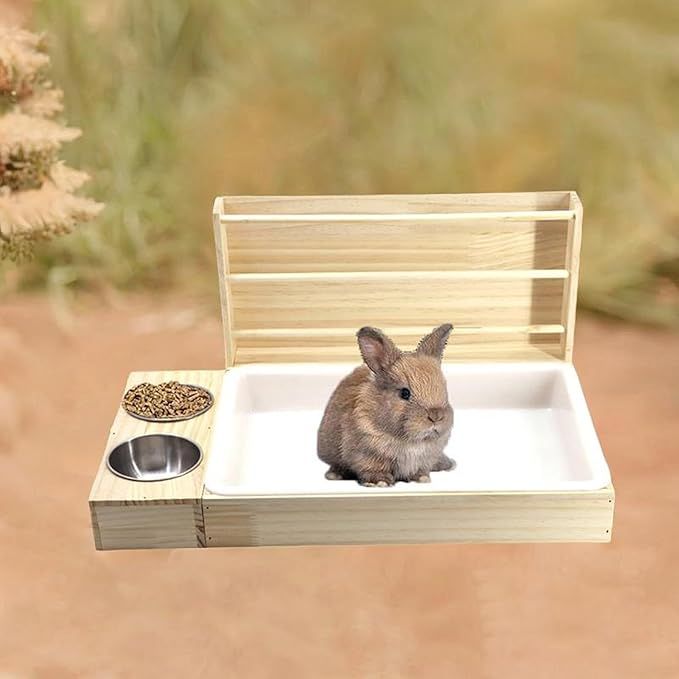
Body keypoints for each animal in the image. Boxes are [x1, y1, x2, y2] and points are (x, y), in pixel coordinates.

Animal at [317, 324, 455, 487]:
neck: (411, 441)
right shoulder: (367, 455)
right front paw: (380, 482)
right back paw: (334, 475)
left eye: (444, 387)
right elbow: (372, 469)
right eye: (404, 393)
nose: (436, 416)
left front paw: (421, 478)